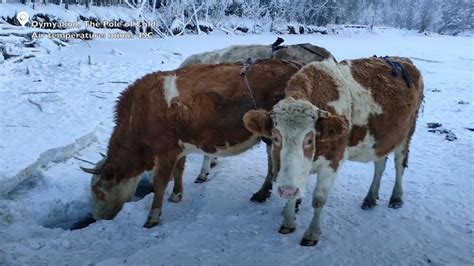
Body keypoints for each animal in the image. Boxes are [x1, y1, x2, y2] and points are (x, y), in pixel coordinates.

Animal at [81, 58, 300, 227]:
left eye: (98, 191)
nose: (95, 218)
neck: (140, 113)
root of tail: (295, 66)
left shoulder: (166, 150)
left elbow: (159, 183)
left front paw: (153, 217)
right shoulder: (180, 147)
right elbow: (180, 170)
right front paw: (176, 195)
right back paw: (263, 194)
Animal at [243, 57, 424, 246]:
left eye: (309, 139)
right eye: (276, 138)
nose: (285, 190)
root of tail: (404, 60)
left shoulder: (332, 161)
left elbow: (318, 200)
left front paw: (312, 234)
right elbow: (295, 190)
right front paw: (288, 222)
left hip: (406, 134)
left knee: (399, 164)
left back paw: (396, 198)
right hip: (380, 141)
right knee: (380, 164)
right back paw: (370, 198)